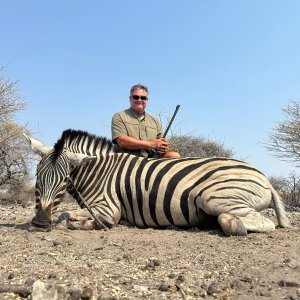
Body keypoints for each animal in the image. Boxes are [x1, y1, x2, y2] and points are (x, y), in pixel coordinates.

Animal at [24, 129, 290, 237]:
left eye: (64, 180)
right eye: (37, 176)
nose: (40, 222)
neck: (97, 171)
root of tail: (263, 176)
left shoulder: (108, 208)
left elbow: (71, 218)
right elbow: (66, 214)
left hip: (214, 197)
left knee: (259, 221)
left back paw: (233, 225)